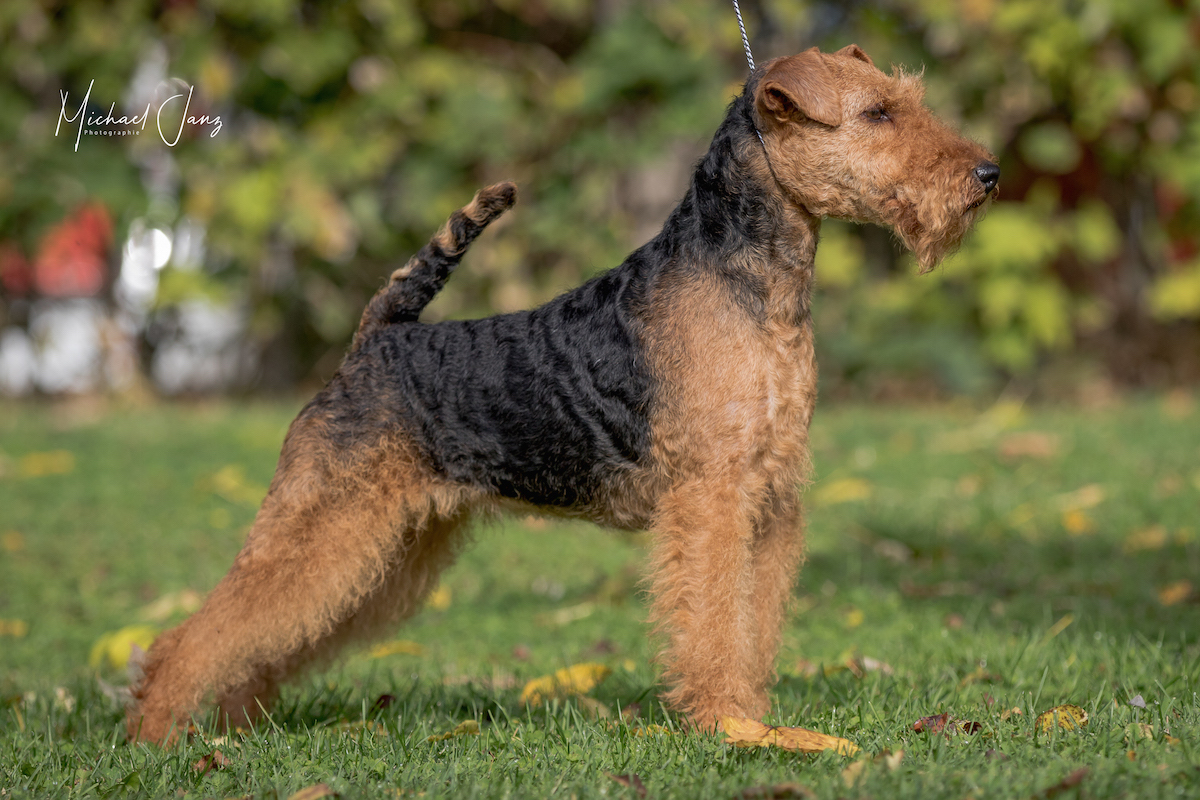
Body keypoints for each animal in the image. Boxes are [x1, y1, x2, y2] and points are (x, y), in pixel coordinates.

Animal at [126, 45, 998, 743]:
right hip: (328, 523)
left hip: (389, 549)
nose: (987, 175)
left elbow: (752, 622)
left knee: (267, 639)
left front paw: (751, 718)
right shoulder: (714, 496)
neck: (748, 282)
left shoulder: (771, 495)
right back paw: (159, 736)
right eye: (878, 112)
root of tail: (377, 335)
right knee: (196, 636)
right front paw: (726, 725)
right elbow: (714, 618)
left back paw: (239, 728)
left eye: (905, 101)